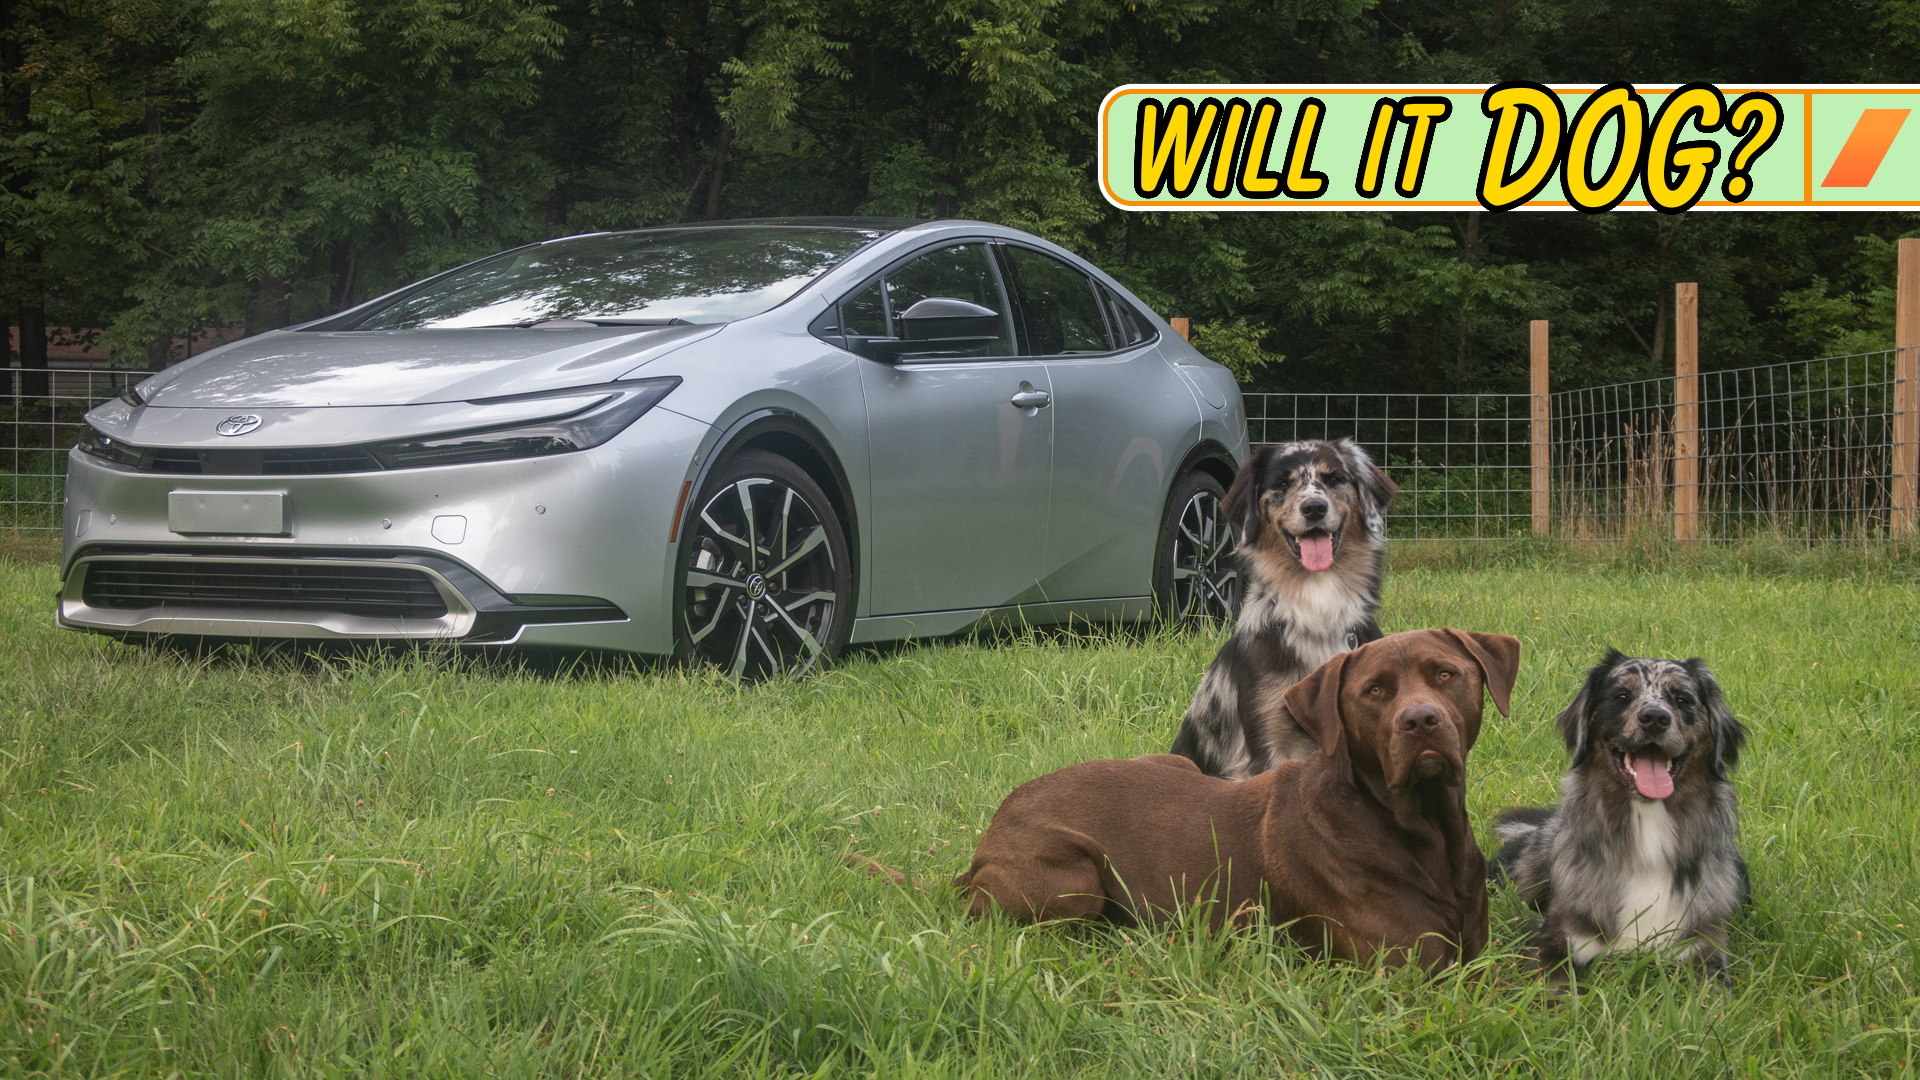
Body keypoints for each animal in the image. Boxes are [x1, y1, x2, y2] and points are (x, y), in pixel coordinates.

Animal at [956, 628, 1519, 972]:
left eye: (1445, 674)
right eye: (1374, 691)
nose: (1421, 720)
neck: (1421, 827)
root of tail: (990, 832)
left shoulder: (1477, 955)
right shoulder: (1415, 972)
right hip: (1075, 882)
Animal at [1492, 650, 1748, 981]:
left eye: (1683, 699)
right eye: (1621, 695)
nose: (1655, 718)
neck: (1649, 829)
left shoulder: (1706, 951)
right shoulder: (1555, 942)